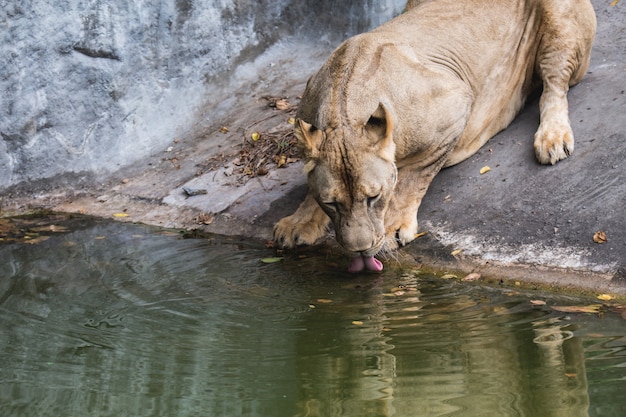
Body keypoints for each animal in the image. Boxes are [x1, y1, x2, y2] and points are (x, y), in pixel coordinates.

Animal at [272, 0, 596, 270]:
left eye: (374, 197)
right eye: (332, 204)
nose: (360, 250)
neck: (342, 108)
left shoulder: (455, 103)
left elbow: (415, 176)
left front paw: (393, 228)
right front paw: (297, 222)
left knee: (555, 85)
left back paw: (552, 138)